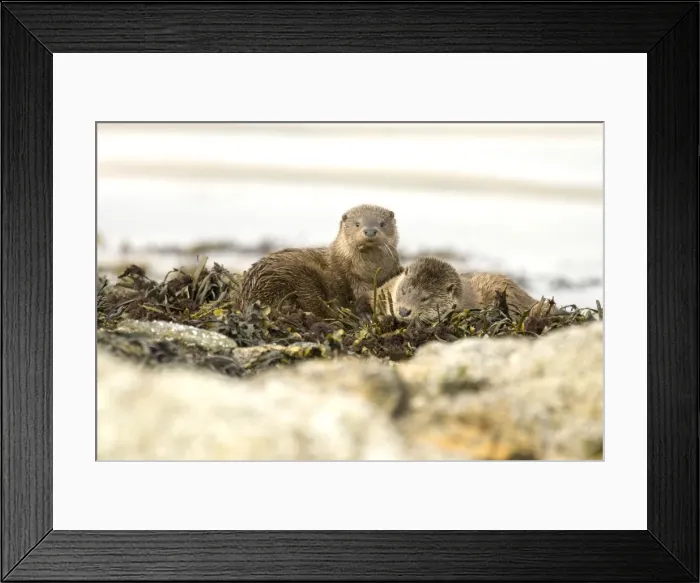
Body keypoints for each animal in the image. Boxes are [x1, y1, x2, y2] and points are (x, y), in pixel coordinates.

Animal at [238, 204, 402, 318]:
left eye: (382, 223)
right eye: (357, 224)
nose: (370, 231)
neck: (370, 270)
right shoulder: (354, 279)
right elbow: (360, 297)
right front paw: (365, 315)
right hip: (297, 276)